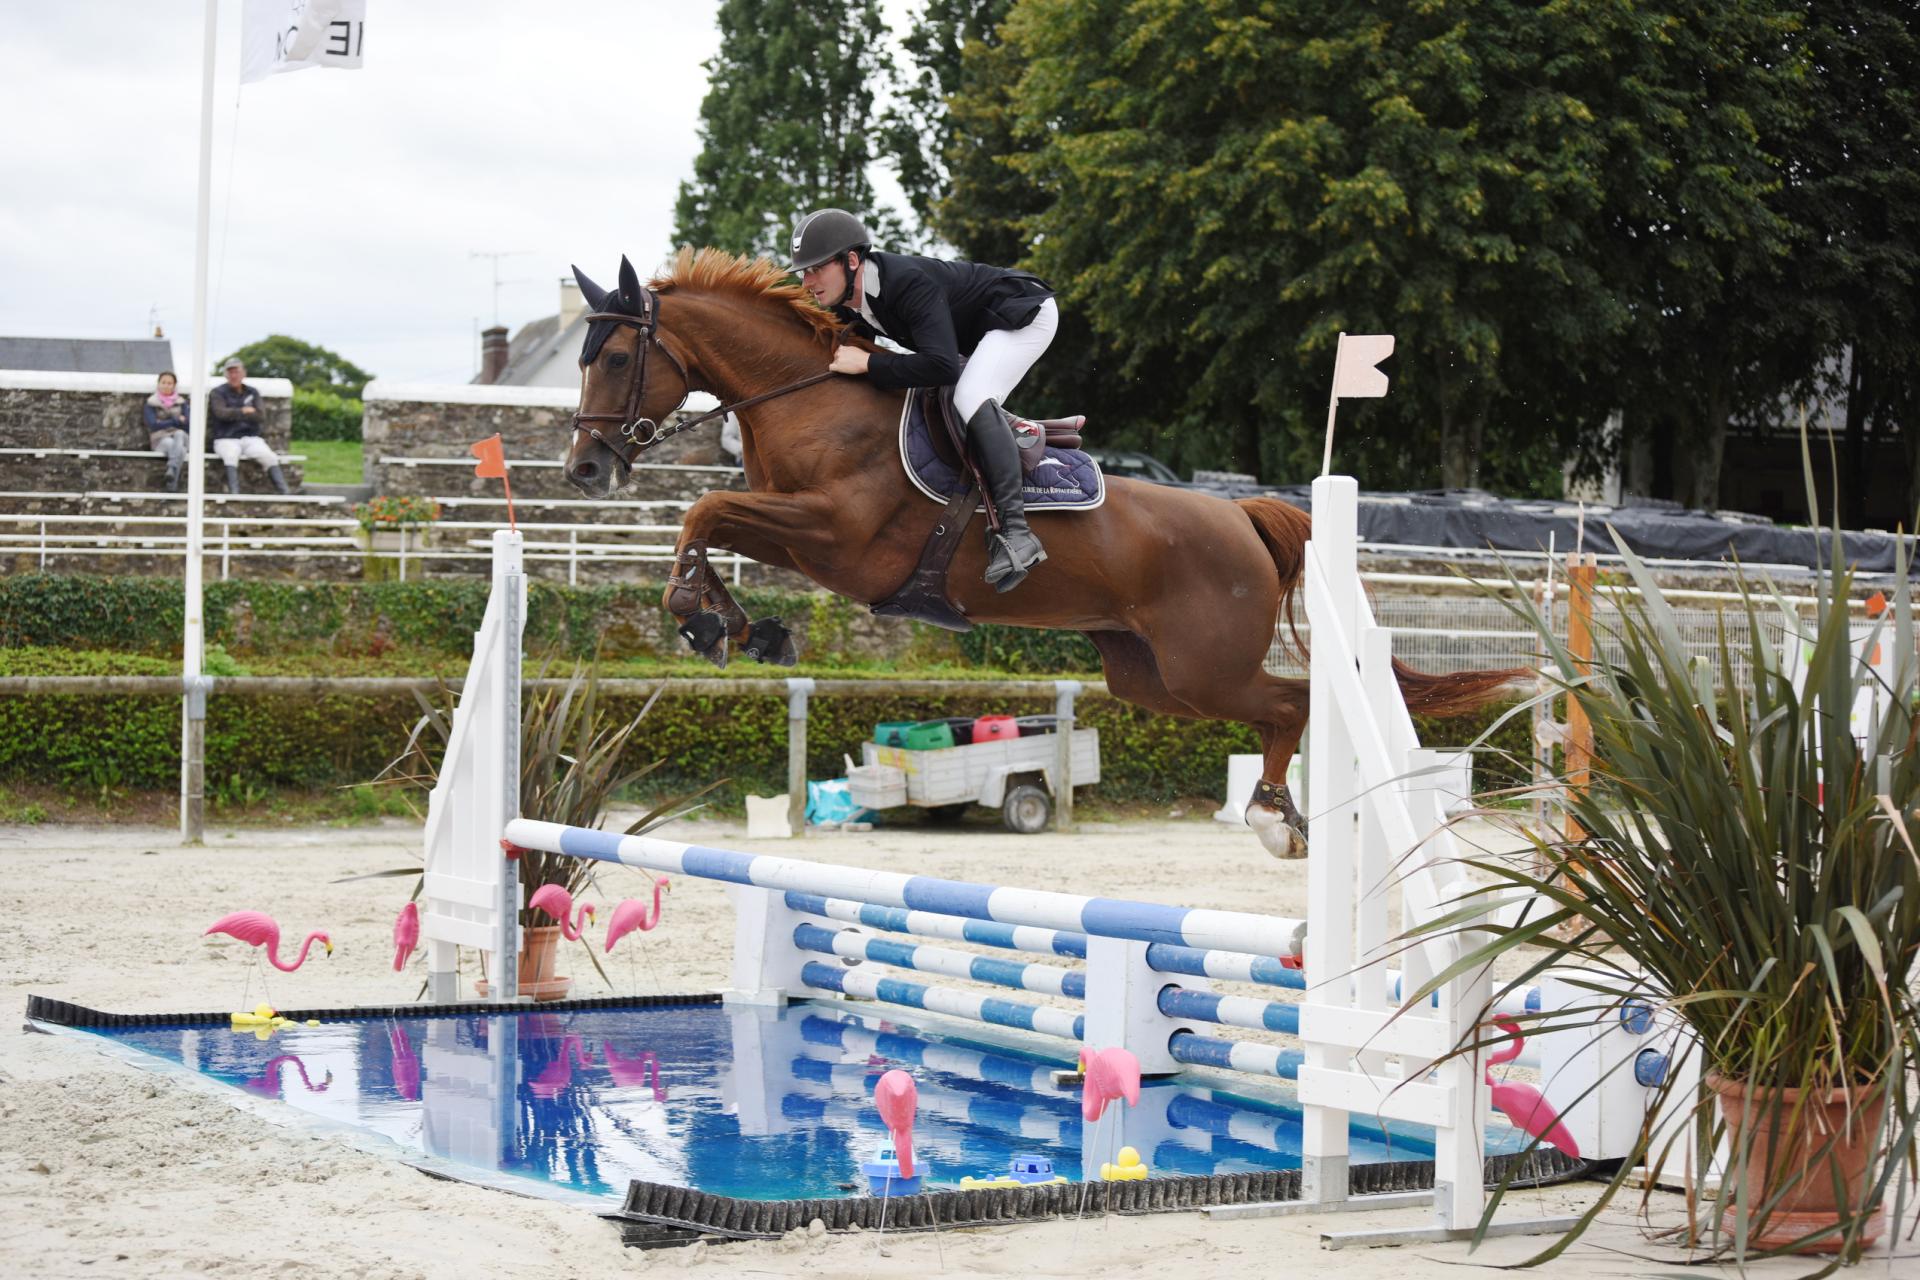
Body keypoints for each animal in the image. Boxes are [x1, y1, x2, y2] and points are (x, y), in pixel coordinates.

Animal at [560, 247, 1520, 859]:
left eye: (617, 355)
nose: (584, 468)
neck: (809, 395)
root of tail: (1243, 519)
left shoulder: (838, 536)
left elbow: (705, 506)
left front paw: (705, 620)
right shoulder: (799, 529)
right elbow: (708, 522)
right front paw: (733, 626)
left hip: (1204, 666)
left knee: (1289, 704)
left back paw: (1275, 817)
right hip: (1148, 677)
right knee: (1267, 704)